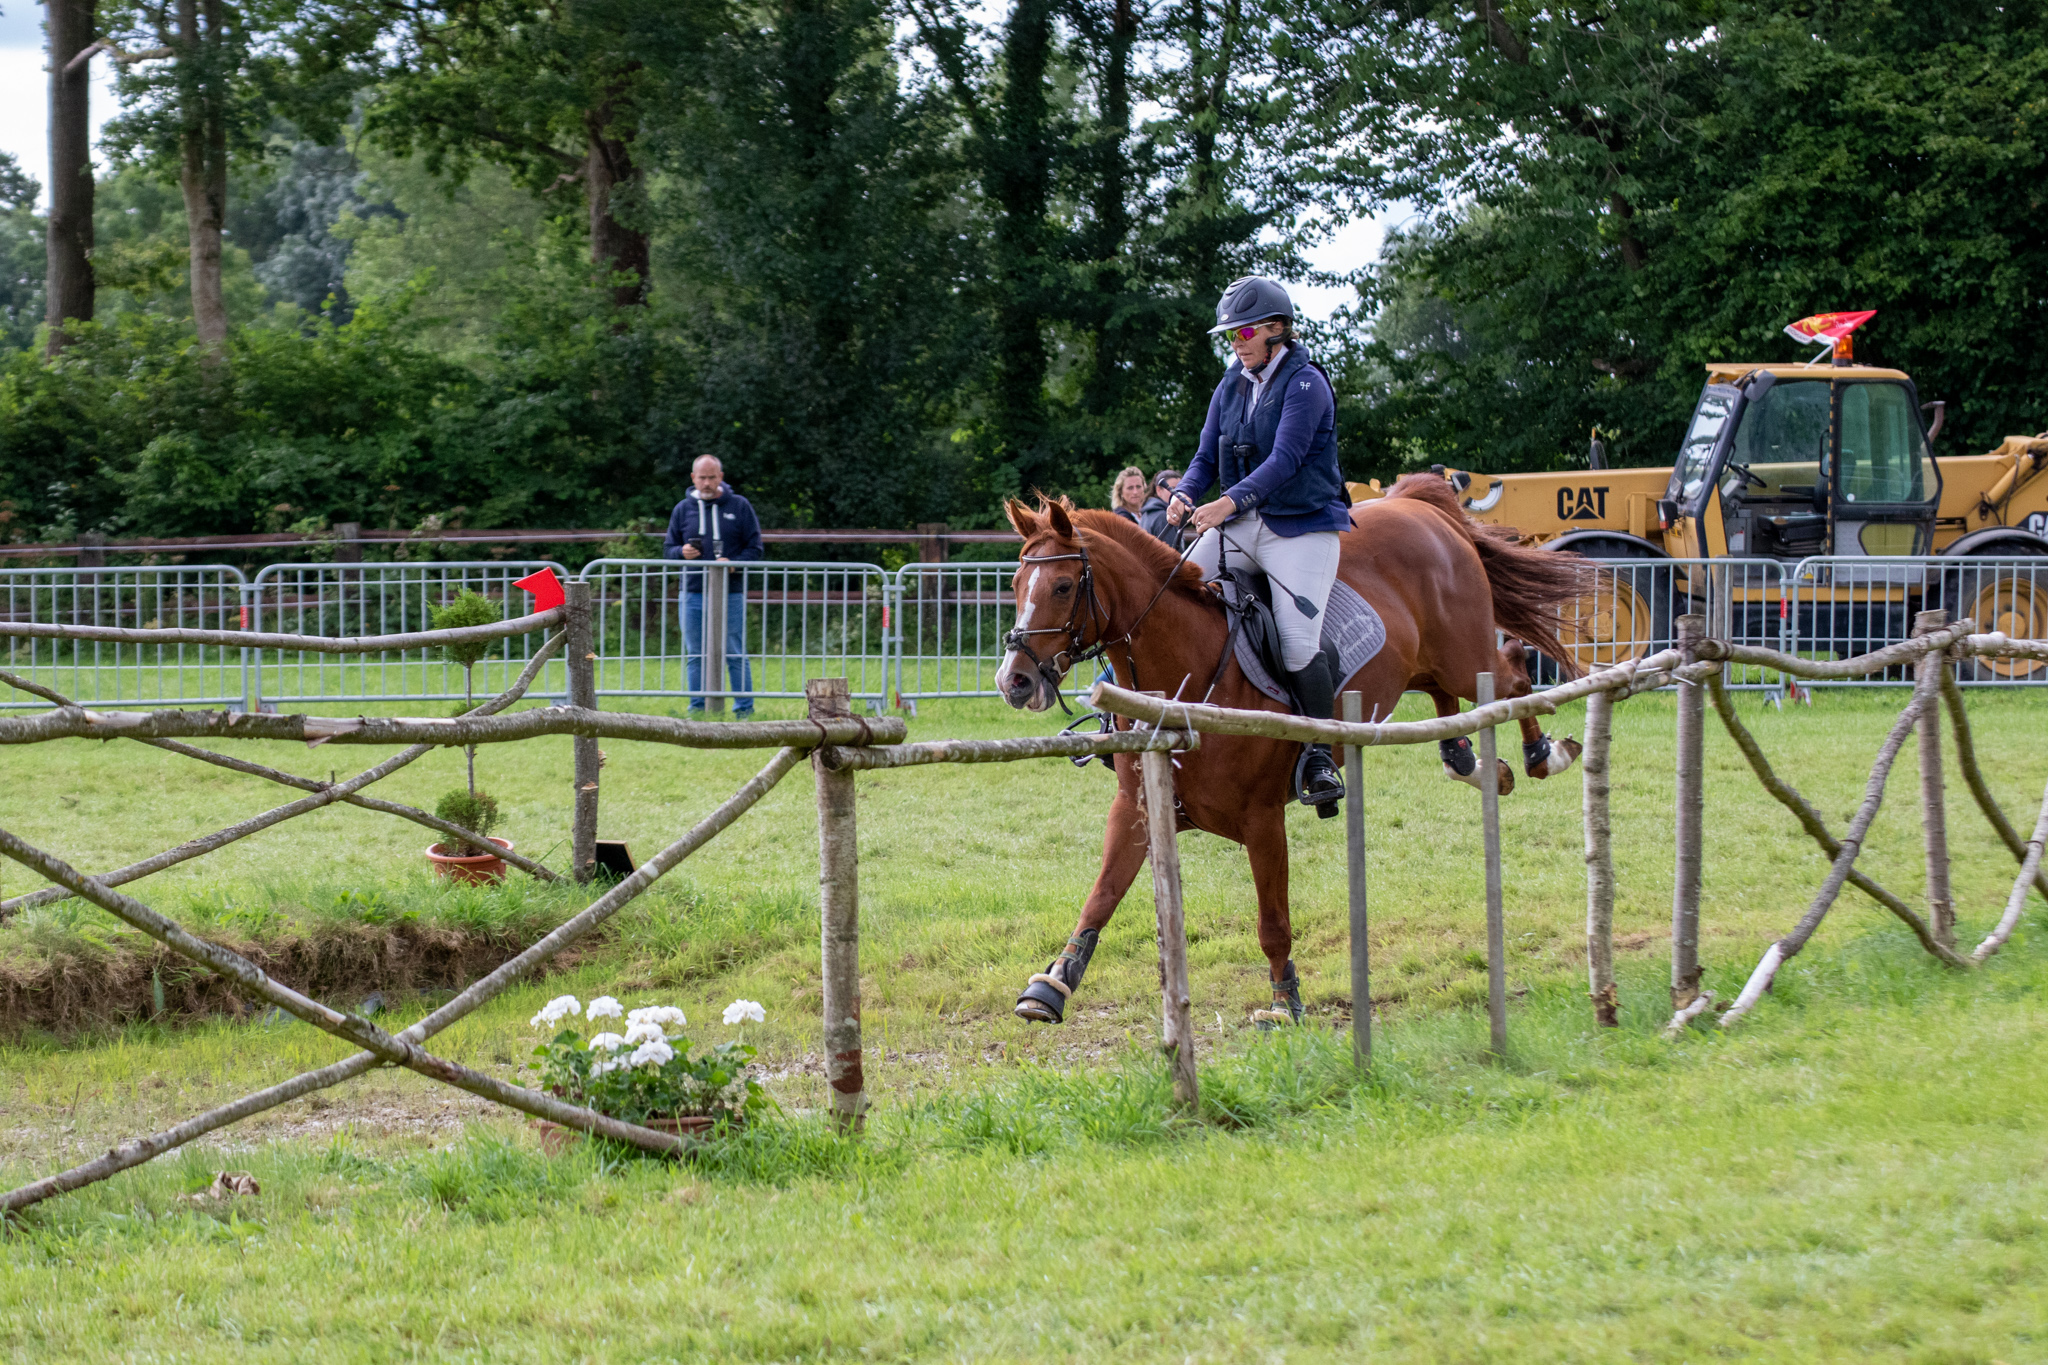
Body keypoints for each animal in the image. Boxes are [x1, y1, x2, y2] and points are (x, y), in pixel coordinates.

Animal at [999, 472, 1596, 1024]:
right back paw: (1472, 763)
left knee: (1512, 676)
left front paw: (1285, 1001)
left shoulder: (1263, 820)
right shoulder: (1137, 810)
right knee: (1452, 707)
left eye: (1062, 586)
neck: (1185, 678)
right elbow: (1100, 898)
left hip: (1463, 656)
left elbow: (1272, 922)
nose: (1014, 681)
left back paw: (1544, 755)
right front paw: (1052, 985)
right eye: (1015, 583)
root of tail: (1415, 505)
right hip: (1425, 666)